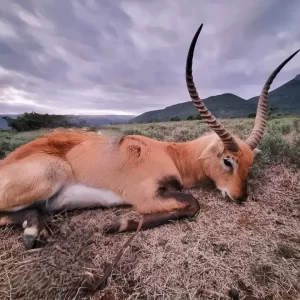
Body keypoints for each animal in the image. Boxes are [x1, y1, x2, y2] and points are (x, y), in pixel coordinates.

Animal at [0, 23, 298, 250]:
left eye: (249, 163)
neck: (171, 152)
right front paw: (119, 223)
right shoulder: (146, 197)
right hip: (53, 172)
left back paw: (35, 230)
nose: (240, 197)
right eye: (228, 160)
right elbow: (193, 204)